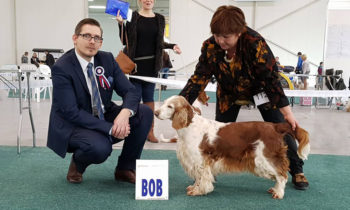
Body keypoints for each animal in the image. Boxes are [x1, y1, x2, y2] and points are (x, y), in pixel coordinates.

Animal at [154, 96, 310, 199]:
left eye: (170, 106)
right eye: (164, 103)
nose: (155, 113)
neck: (189, 125)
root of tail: (275, 126)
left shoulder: (200, 160)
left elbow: (202, 177)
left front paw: (199, 191)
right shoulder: (195, 161)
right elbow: (198, 177)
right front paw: (194, 187)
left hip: (265, 158)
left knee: (282, 174)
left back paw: (279, 193)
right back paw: (275, 190)